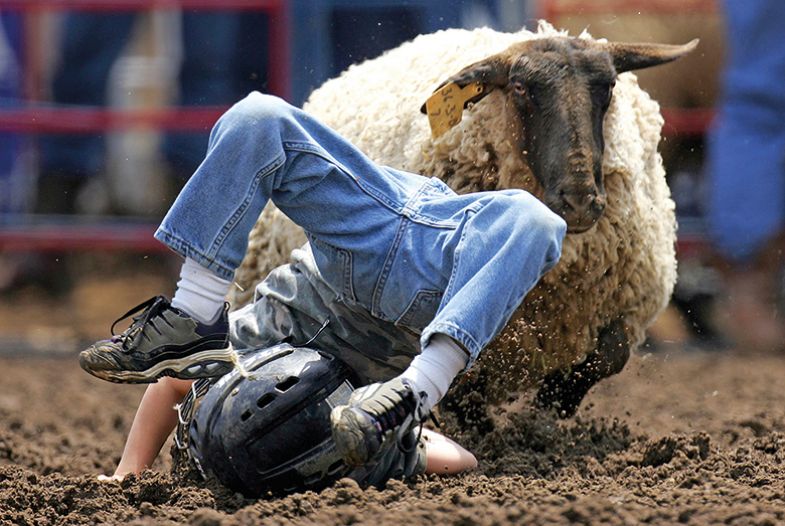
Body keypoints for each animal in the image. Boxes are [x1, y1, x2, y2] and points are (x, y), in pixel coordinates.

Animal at [230, 22, 696, 418]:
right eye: (521, 88)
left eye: (609, 86)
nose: (580, 201)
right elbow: (465, 384)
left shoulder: (626, 306)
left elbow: (607, 356)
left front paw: (551, 408)